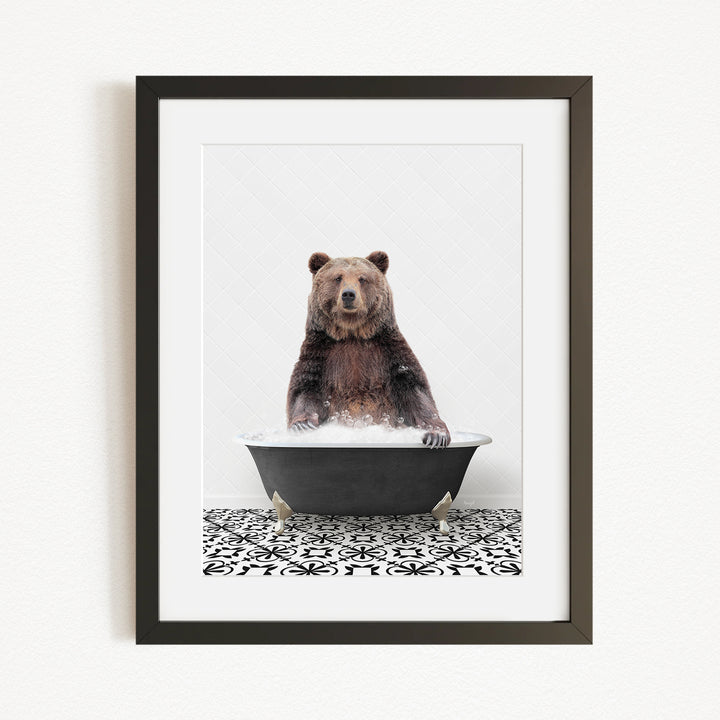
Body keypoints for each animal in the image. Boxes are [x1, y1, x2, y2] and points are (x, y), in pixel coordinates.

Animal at [286, 251, 451, 448]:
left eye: (362, 278)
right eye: (338, 277)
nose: (348, 294)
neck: (352, 333)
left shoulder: (388, 351)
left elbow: (415, 390)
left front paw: (436, 435)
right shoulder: (321, 352)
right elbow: (304, 389)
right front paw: (302, 425)